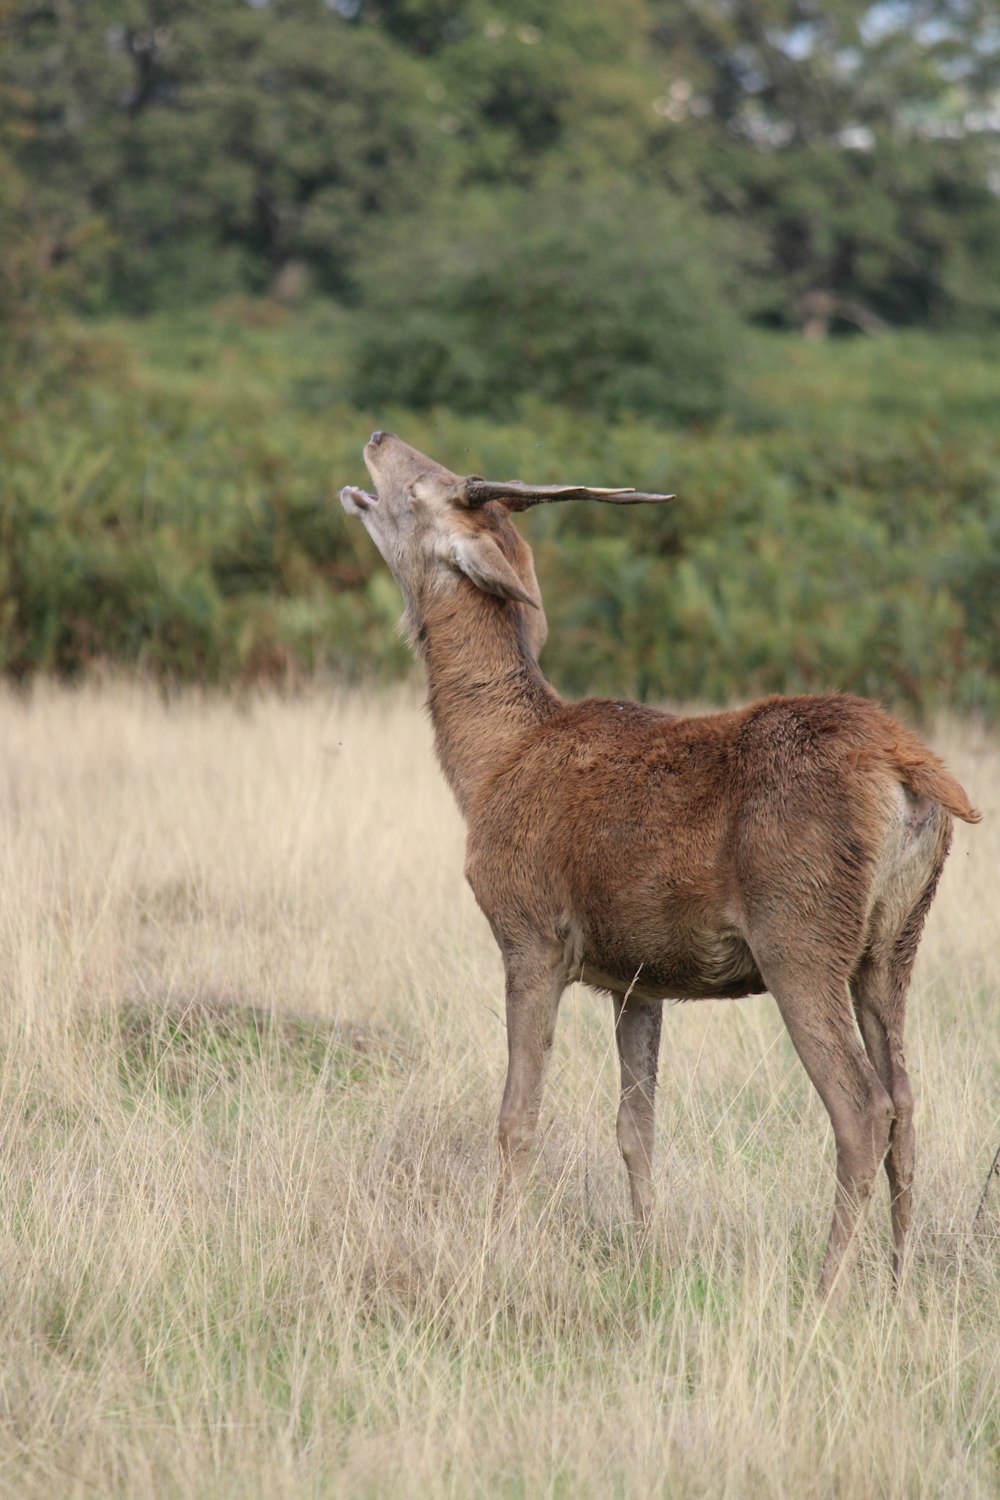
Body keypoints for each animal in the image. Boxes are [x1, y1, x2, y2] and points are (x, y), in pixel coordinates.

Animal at [340, 429, 983, 1296]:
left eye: (425, 488)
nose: (379, 438)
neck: (488, 768)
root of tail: (914, 771)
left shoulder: (530, 931)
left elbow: (517, 1117)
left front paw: (496, 1247)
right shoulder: (638, 974)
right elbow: (635, 1127)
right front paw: (648, 1251)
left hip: (801, 930)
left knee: (863, 1108)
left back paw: (824, 1287)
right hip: (895, 942)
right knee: (909, 1105)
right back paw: (899, 1280)